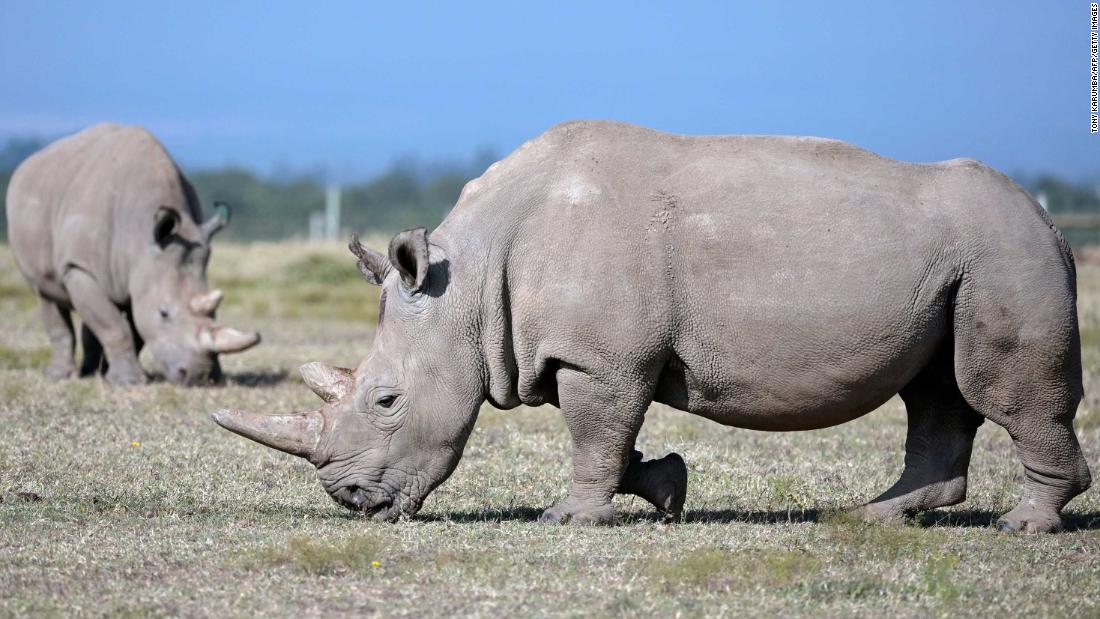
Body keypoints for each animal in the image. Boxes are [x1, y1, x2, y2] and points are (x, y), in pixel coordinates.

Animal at [6, 124, 259, 387]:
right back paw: (61, 376)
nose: (199, 377)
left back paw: (93, 372)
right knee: (45, 293)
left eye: (215, 313)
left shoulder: (144, 272)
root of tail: (28, 163)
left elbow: (134, 326)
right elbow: (115, 326)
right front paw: (129, 381)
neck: (141, 238)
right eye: (164, 313)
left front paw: (120, 376)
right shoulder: (79, 267)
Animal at [214, 120, 1091, 532]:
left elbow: (592, 432)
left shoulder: (599, 357)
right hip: (961, 264)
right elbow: (614, 437)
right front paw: (667, 489)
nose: (352, 500)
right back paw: (870, 515)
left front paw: (569, 518)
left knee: (995, 389)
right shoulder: (599, 354)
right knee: (936, 392)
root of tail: (1052, 222)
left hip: (1004, 253)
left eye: (387, 400)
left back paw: (1022, 524)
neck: (467, 282)